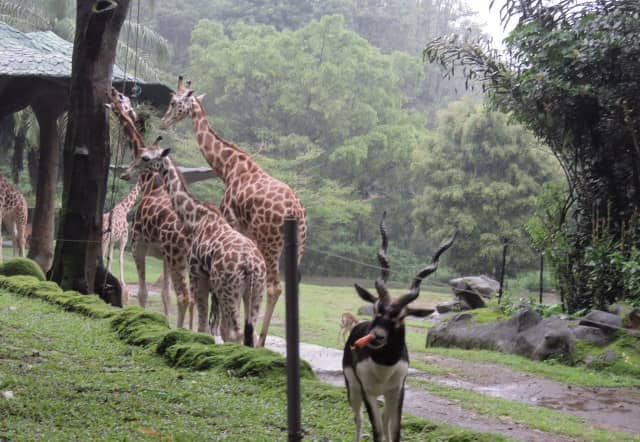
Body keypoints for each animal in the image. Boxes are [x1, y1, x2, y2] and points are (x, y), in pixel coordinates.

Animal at [107, 87, 195, 328]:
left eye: (122, 99)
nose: (112, 91)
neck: (151, 183)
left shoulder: (138, 245)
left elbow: (144, 293)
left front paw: (143, 319)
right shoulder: (163, 257)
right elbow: (164, 295)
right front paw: (162, 322)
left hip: (177, 259)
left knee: (185, 297)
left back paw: (182, 330)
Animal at [120, 140, 268, 348]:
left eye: (145, 158)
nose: (125, 173)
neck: (196, 217)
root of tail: (251, 265)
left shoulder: (198, 274)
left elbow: (202, 324)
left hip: (227, 289)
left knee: (236, 332)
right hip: (255, 292)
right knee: (249, 333)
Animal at [162, 76, 308, 348]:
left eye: (175, 101)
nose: (164, 121)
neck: (227, 167)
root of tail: (296, 211)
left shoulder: (232, 220)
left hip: (270, 242)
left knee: (274, 287)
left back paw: (259, 341)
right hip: (299, 246)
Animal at [340, 212, 456, 440]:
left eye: (401, 316)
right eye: (376, 308)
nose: (377, 336)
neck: (383, 366)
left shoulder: (398, 390)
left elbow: (395, 431)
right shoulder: (367, 391)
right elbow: (376, 431)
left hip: (384, 395)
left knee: (385, 418)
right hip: (353, 389)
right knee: (358, 419)